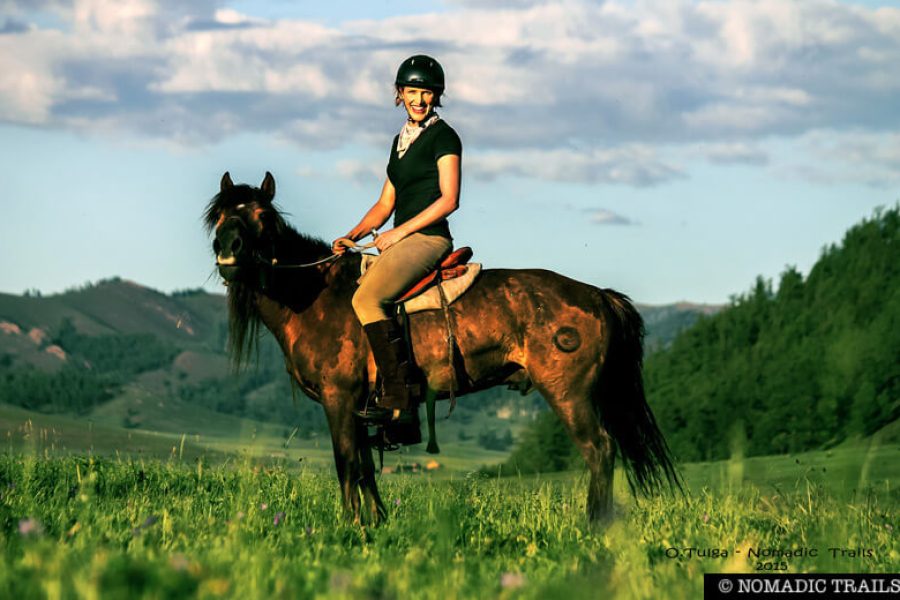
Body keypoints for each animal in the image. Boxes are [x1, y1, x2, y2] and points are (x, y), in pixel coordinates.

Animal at [206, 171, 684, 524]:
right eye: (219, 215)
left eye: (262, 215)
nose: (227, 251)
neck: (314, 294)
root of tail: (597, 296)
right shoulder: (361, 406)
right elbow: (365, 466)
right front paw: (376, 523)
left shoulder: (338, 398)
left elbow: (346, 463)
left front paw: (351, 526)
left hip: (570, 394)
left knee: (599, 449)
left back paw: (596, 525)